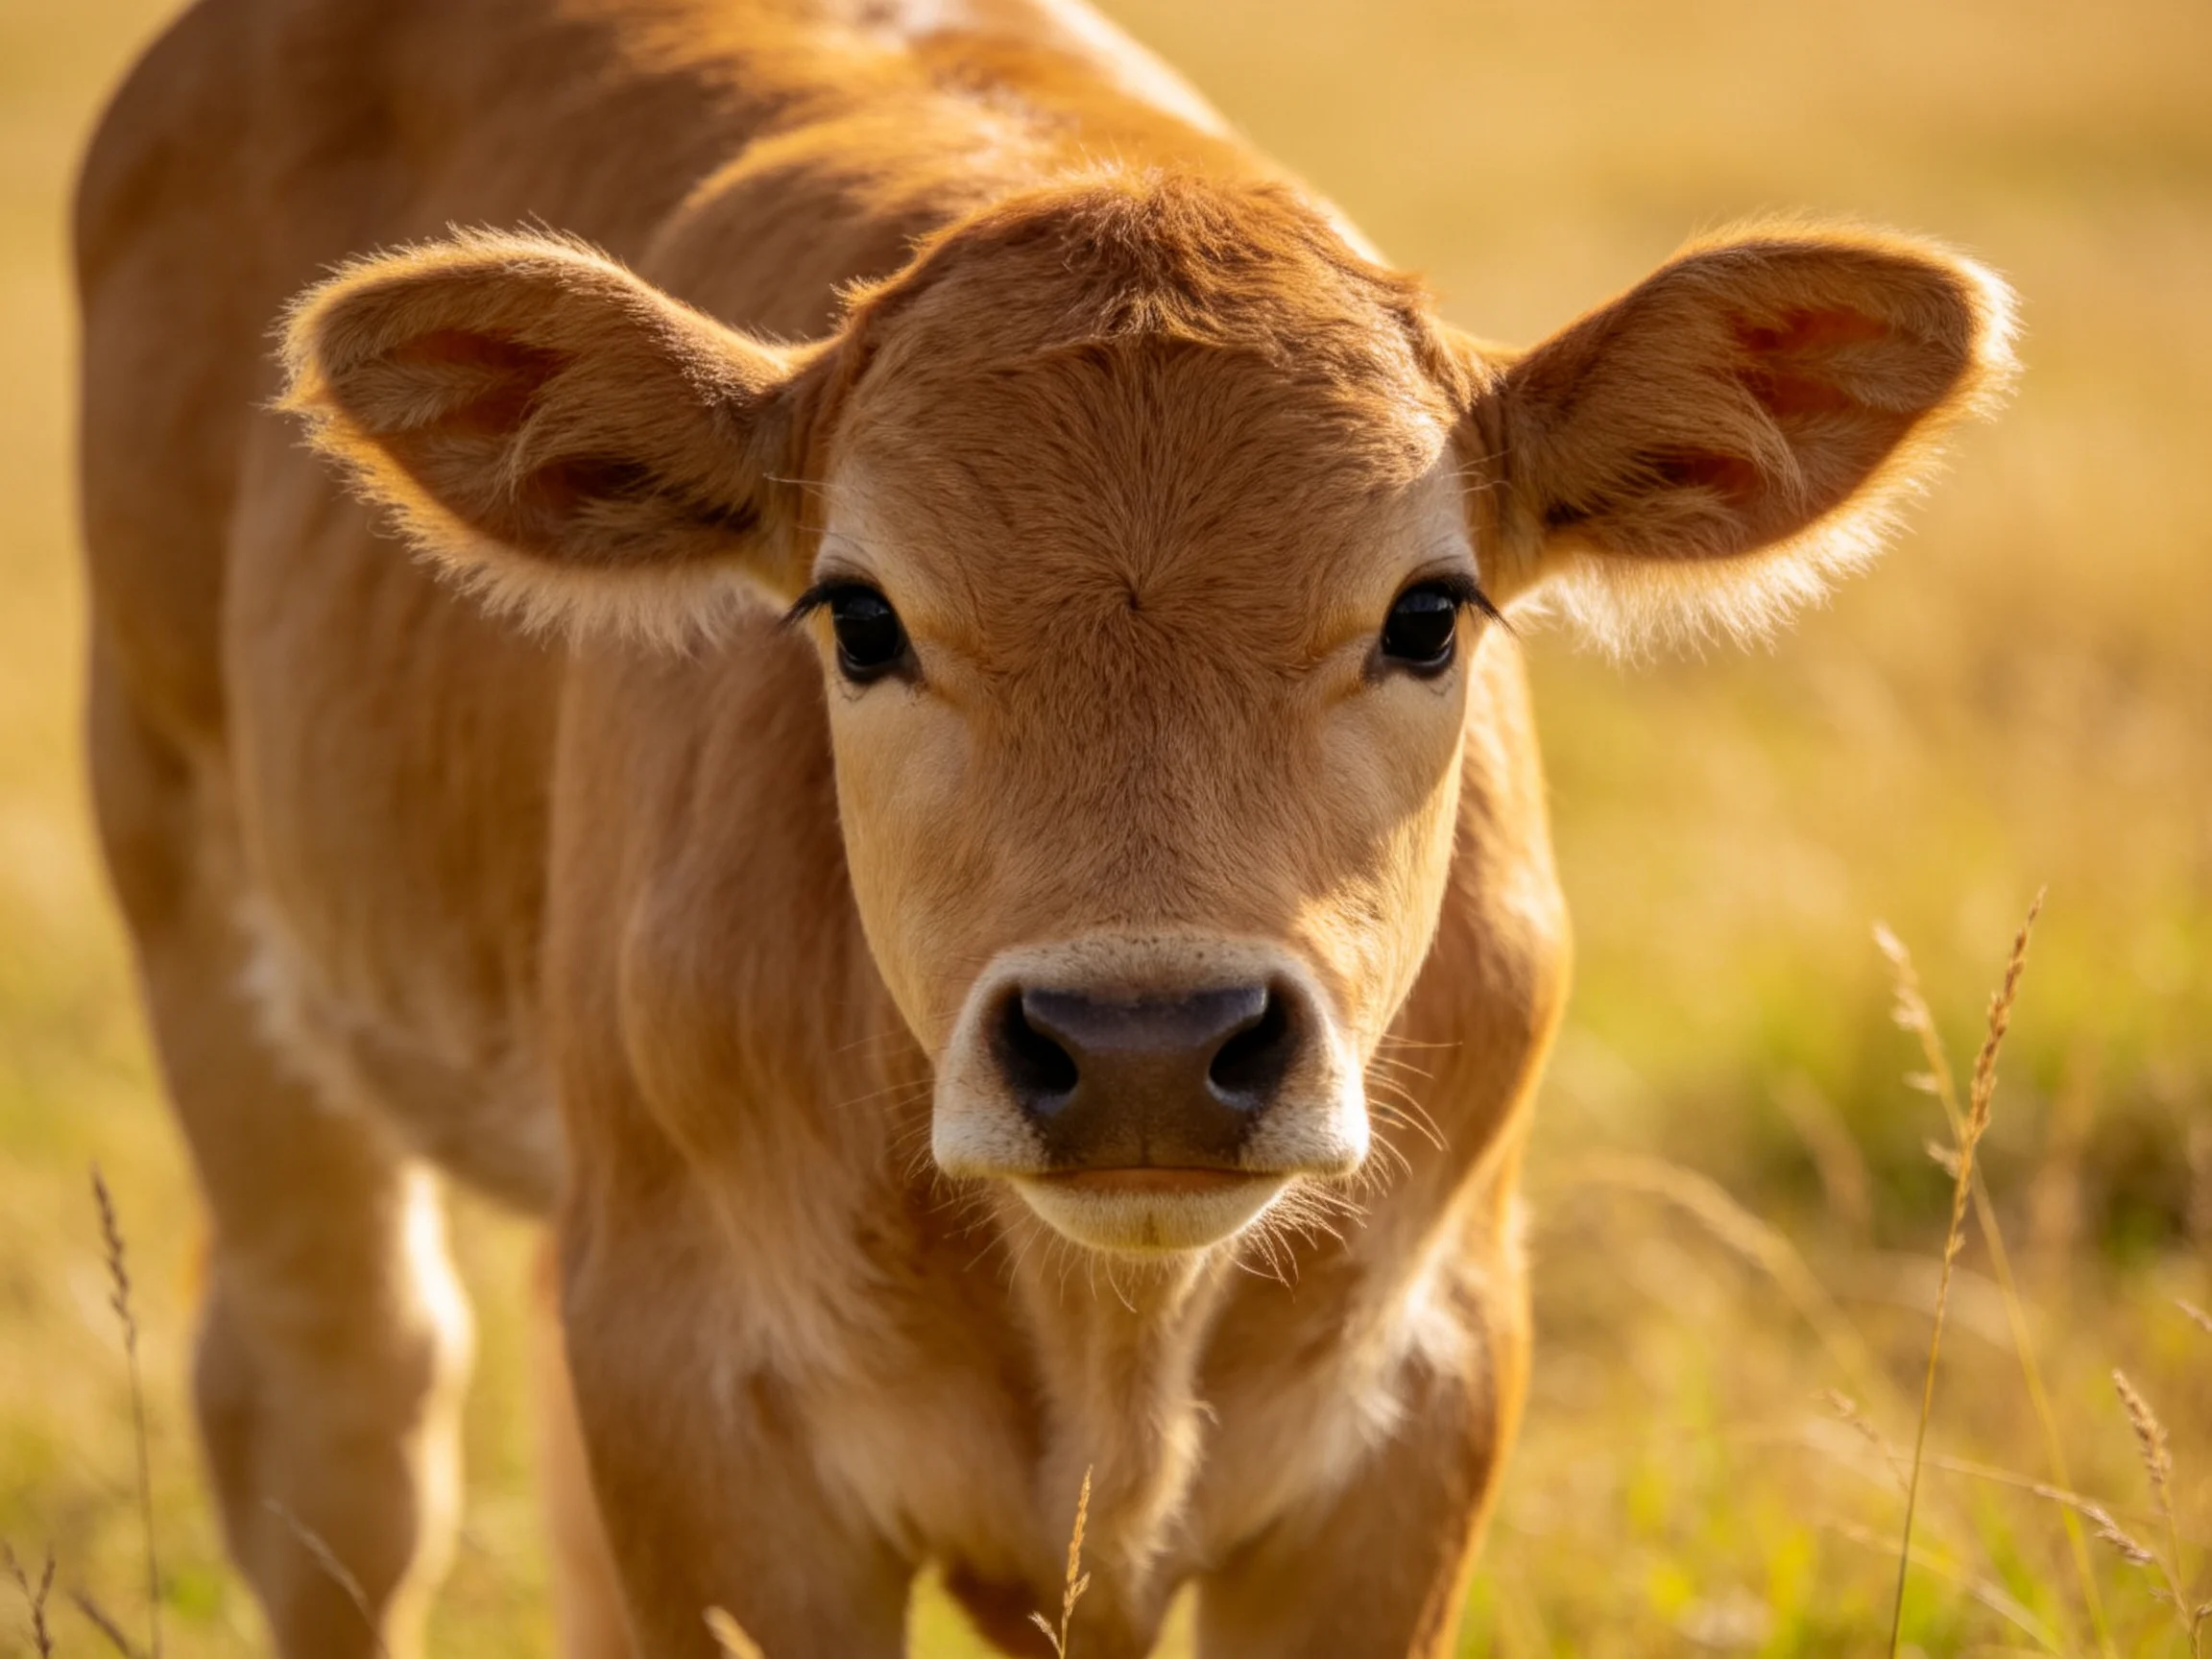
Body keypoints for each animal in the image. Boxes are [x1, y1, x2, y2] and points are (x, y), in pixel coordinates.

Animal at [74, 0, 2014, 1654]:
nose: (1145, 1043)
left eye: (1429, 612)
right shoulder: (713, 1428)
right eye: (859, 618)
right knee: (340, 1418)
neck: (1110, 1344)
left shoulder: (1420, 1406)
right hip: (198, 915)